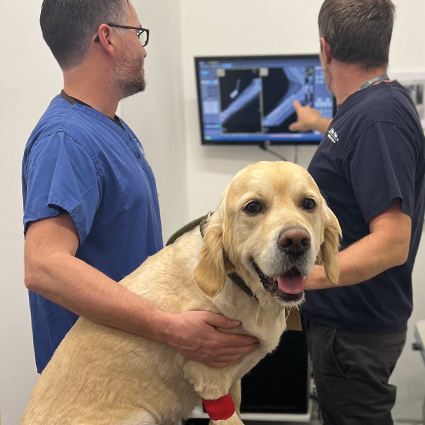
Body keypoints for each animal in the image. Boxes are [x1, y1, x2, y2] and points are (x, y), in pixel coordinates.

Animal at [20, 160, 342, 424]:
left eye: (308, 203)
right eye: (253, 207)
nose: (296, 240)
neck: (238, 283)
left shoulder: (233, 383)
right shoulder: (210, 380)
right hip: (142, 415)